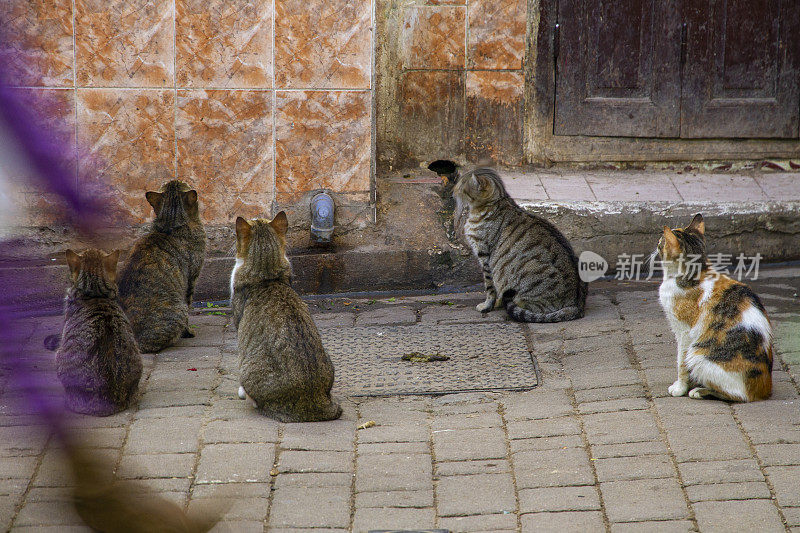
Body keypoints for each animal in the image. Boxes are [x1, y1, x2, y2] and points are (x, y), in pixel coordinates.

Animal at [450, 168, 588, 322]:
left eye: (461, 187)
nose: (452, 192)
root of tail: (578, 306)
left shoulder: (484, 256)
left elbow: (490, 287)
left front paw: (487, 305)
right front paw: (496, 303)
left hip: (529, 271)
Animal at [656, 214, 776, 402]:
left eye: (662, 240)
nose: (657, 241)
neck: (695, 272)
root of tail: (763, 390)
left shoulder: (684, 331)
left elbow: (681, 362)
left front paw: (680, 388)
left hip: (698, 355)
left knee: (739, 395)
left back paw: (699, 391)